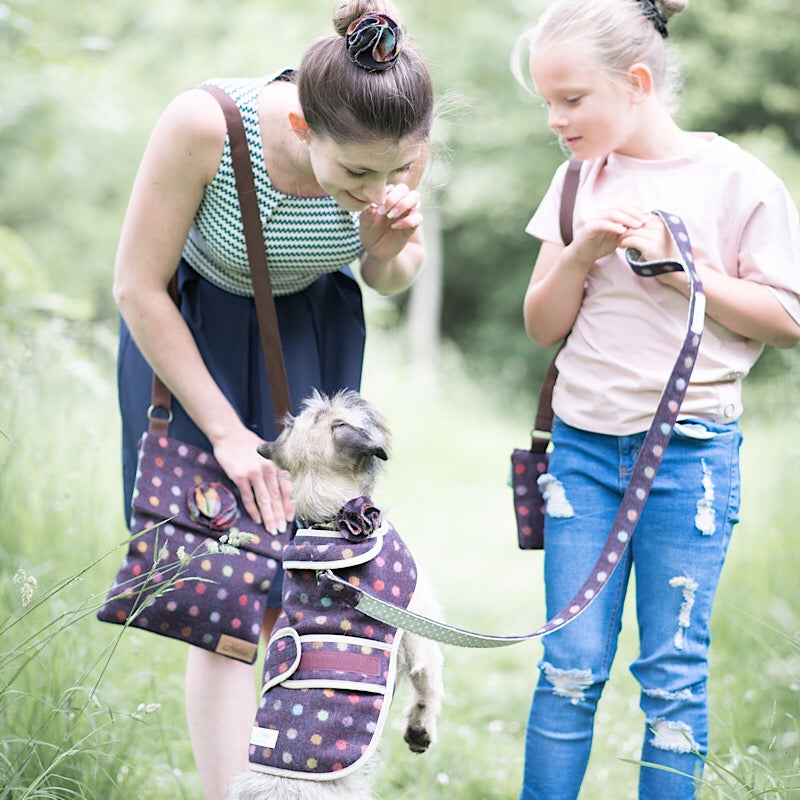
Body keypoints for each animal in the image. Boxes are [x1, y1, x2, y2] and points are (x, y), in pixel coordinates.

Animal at [227, 390, 444, 796]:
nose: (360, 396)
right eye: (350, 412)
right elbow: (428, 685)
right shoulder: (420, 629)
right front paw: (420, 730)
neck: (330, 521)